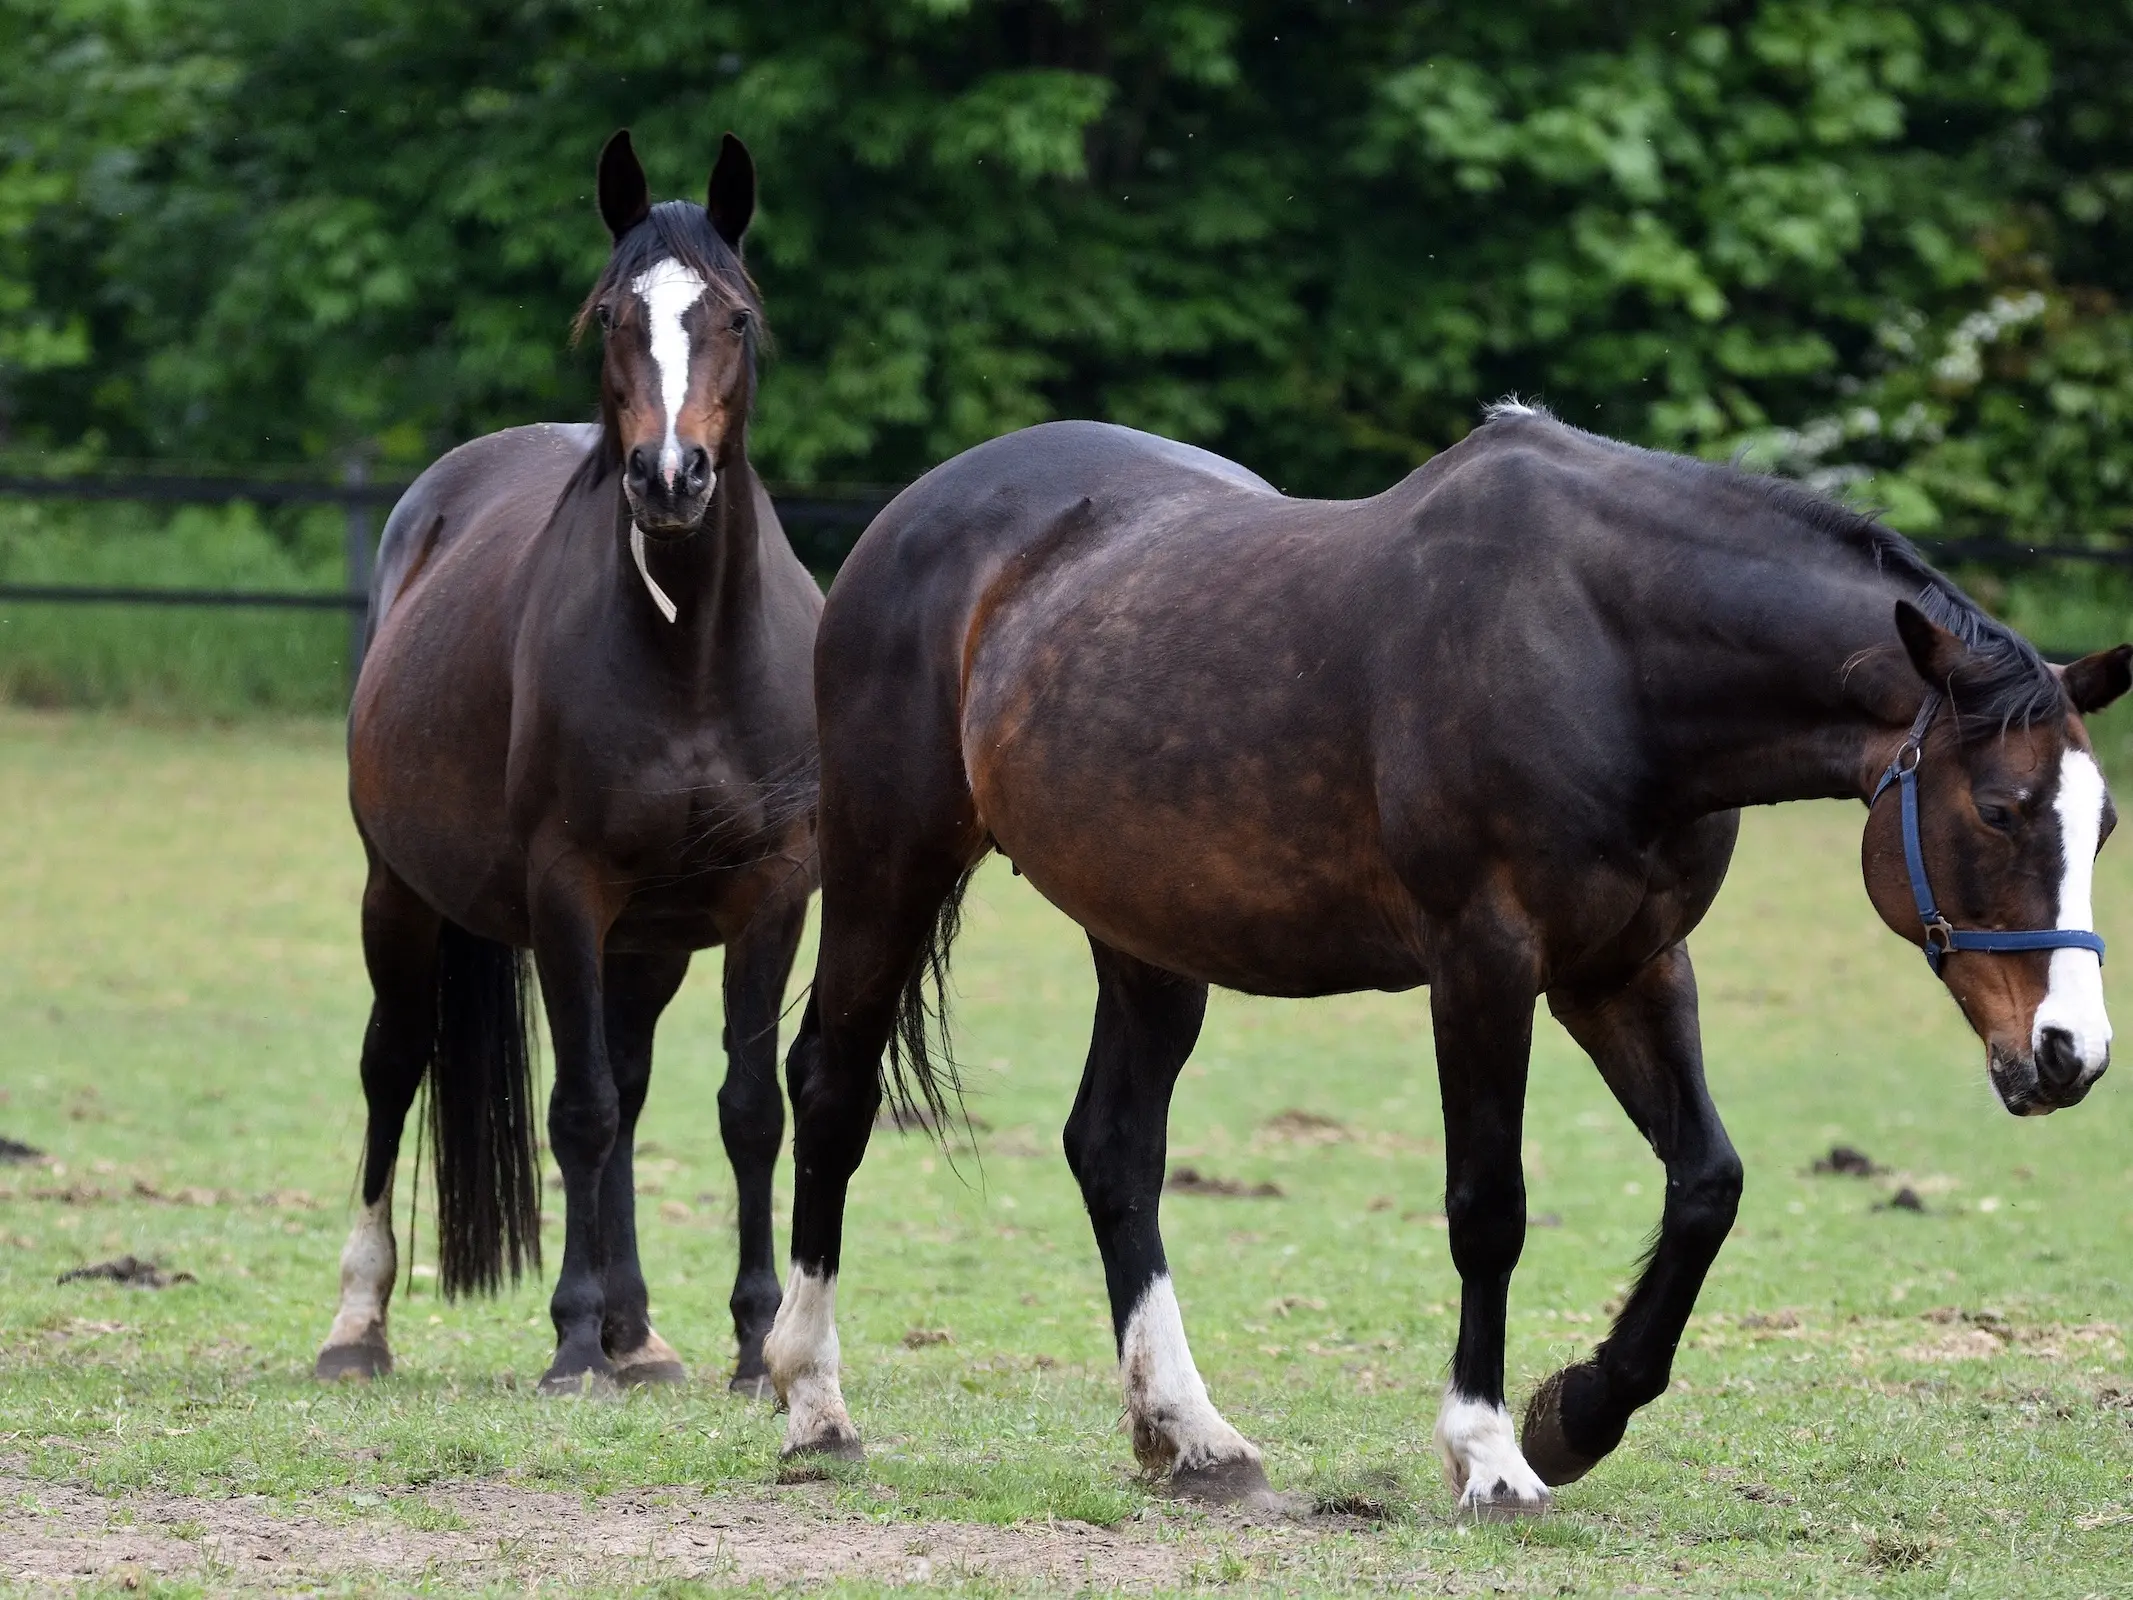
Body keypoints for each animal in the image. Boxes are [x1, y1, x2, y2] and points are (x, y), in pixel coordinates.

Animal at [311, 134, 819, 1390]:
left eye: (734, 316)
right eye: (612, 318)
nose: (670, 477)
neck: (691, 657)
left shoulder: (773, 892)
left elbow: (745, 1109)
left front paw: (752, 1341)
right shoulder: (565, 894)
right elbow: (577, 1107)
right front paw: (573, 1341)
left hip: (650, 941)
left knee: (632, 1088)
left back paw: (642, 1336)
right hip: (400, 897)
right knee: (395, 1063)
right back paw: (362, 1323)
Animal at [759, 407, 2124, 1510]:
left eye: (2101, 822)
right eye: (2000, 808)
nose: (2071, 1054)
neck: (1606, 650)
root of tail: (917, 514)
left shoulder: (1627, 965)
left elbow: (1708, 1183)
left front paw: (1579, 1411)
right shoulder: (1486, 963)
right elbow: (1489, 1208)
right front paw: (1491, 1455)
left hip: (1147, 935)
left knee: (1115, 1150)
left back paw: (1192, 1437)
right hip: (890, 859)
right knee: (831, 1088)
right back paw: (812, 1403)